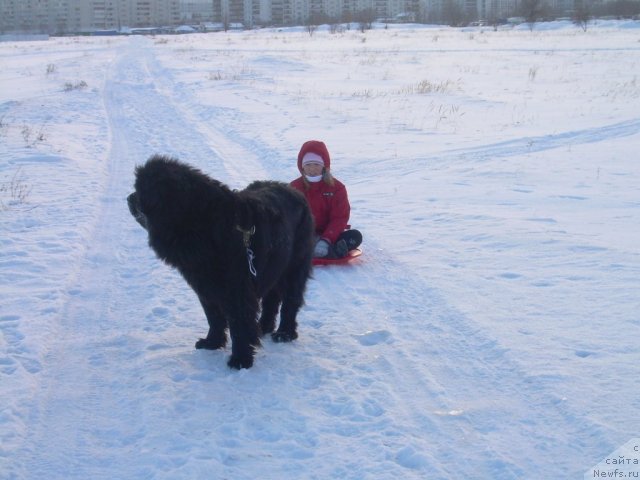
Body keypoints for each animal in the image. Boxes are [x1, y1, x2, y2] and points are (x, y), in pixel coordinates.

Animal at [127, 156, 316, 370]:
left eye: (141, 190)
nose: (129, 198)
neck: (199, 223)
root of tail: (297, 193)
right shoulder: (205, 285)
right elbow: (214, 317)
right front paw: (211, 343)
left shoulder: (236, 288)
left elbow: (238, 323)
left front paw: (240, 360)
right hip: (274, 265)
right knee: (272, 299)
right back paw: (263, 327)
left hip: (295, 265)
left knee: (291, 300)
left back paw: (284, 333)